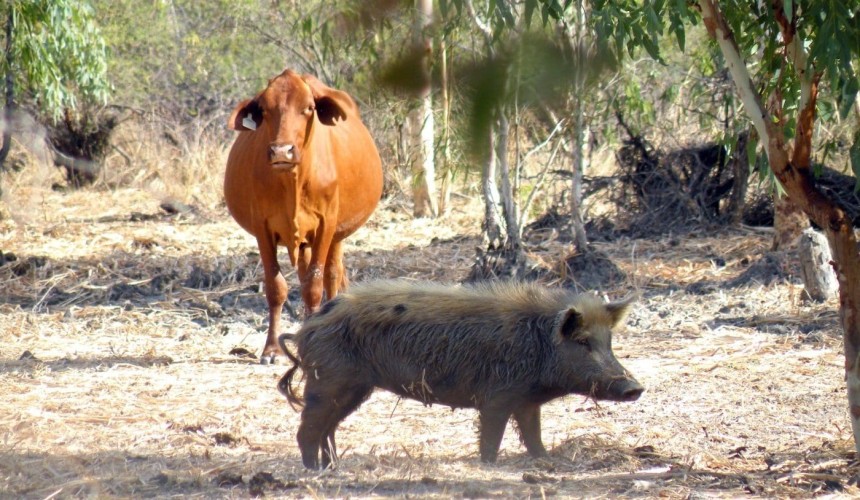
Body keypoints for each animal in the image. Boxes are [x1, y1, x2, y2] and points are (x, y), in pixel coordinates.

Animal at [278, 279, 643, 469]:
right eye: (582, 342)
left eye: (609, 342)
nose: (634, 388)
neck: (538, 346)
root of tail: (306, 328)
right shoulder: (497, 397)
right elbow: (492, 436)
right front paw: (490, 466)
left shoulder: (526, 402)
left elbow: (533, 434)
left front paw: (546, 460)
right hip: (329, 381)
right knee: (308, 430)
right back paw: (317, 471)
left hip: (353, 389)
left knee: (327, 429)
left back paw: (333, 466)